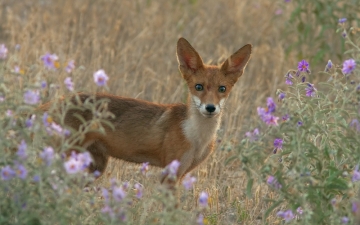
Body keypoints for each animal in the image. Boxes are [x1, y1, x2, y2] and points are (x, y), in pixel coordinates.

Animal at [42, 37, 252, 184]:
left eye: (222, 89)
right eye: (198, 87)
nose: (210, 108)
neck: (197, 137)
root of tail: (59, 100)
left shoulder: (182, 173)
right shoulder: (170, 173)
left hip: (95, 167)